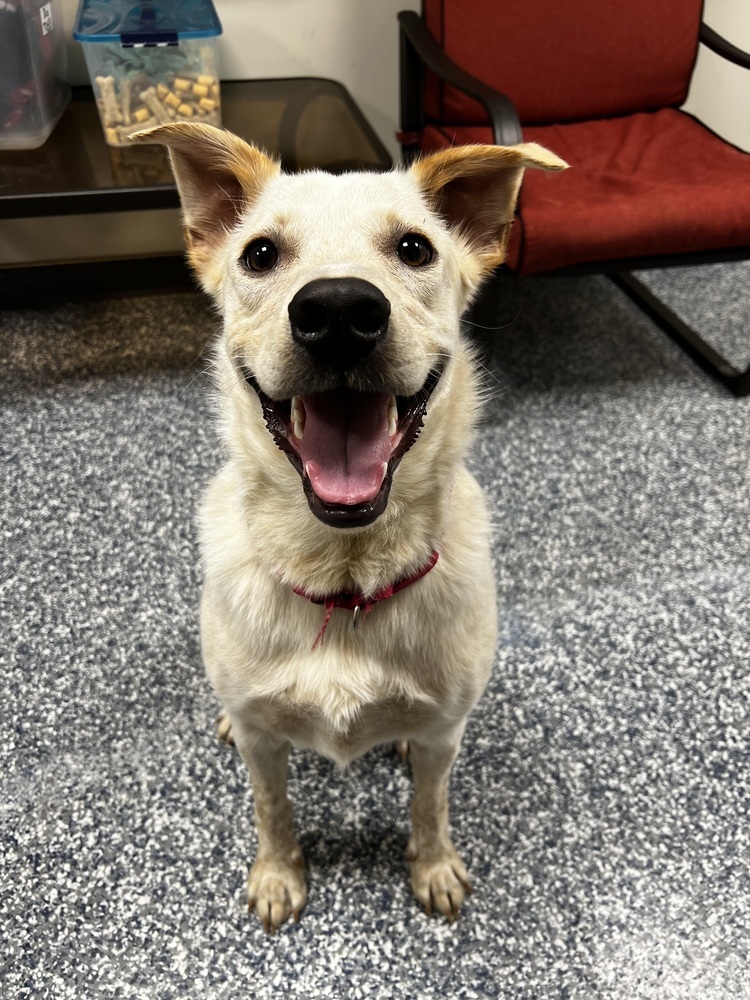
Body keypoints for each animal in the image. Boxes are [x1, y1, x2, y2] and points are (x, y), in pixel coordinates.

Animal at [137, 123, 568, 928]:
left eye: (415, 249)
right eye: (260, 254)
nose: (338, 311)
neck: (344, 573)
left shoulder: (442, 735)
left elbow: (431, 804)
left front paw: (432, 867)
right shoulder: (264, 747)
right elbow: (271, 808)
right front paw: (279, 875)